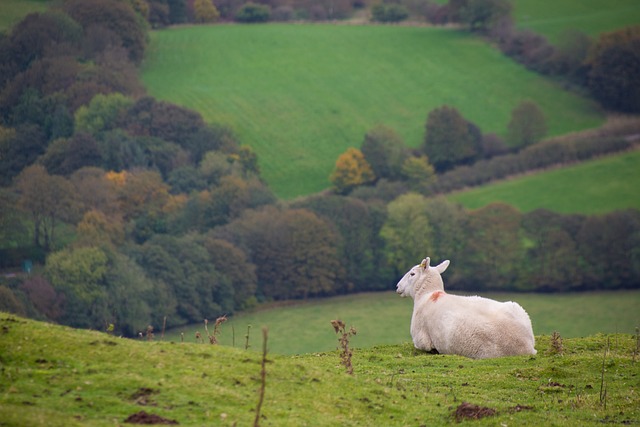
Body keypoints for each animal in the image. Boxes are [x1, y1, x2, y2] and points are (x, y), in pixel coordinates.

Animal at [396, 258, 536, 362]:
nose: (397, 287)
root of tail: (527, 346)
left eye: (412, 274)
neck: (427, 295)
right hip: (517, 308)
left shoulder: (421, 339)